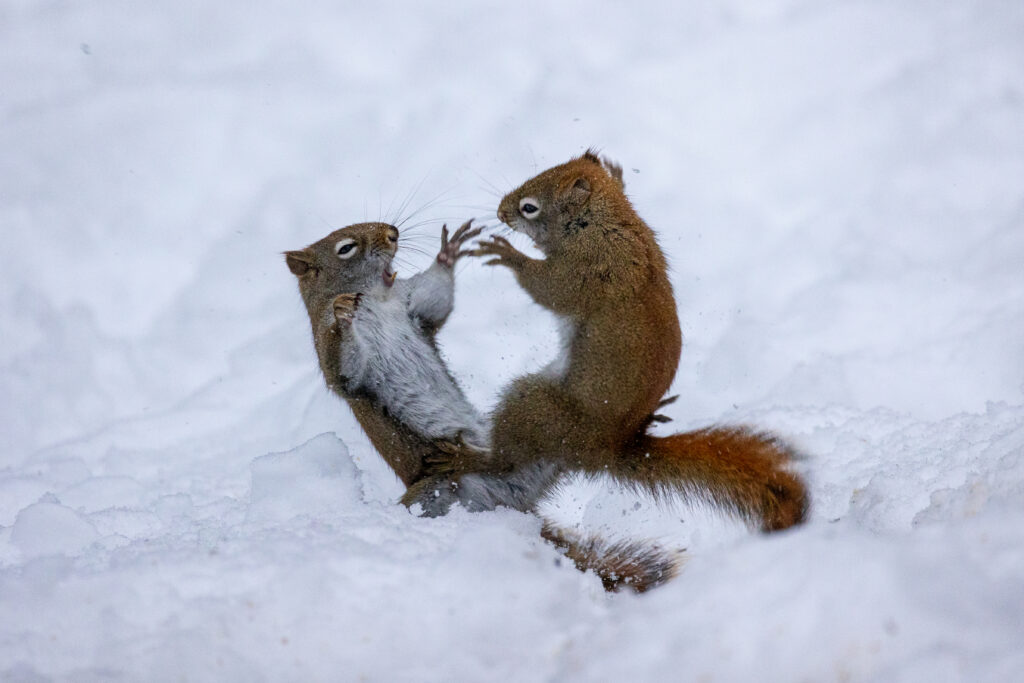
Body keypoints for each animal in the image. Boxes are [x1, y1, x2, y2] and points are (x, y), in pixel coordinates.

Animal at [407, 149, 806, 532]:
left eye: (529, 207)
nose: (500, 211)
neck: (606, 220)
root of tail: (605, 451)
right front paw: (617, 172)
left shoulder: (587, 268)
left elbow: (550, 289)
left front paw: (508, 254)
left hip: (536, 407)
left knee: (506, 460)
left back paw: (468, 457)